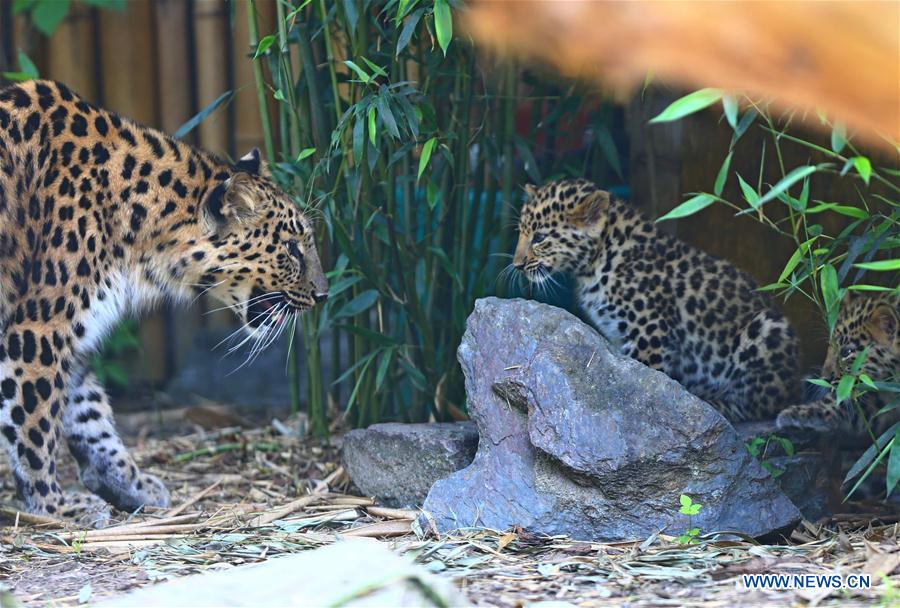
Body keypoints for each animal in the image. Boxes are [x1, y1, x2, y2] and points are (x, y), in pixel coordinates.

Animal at [0, 81, 330, 524]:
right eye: (292, 249)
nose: (323, 294)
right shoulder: (38, 329)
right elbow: (33, 424)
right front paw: (53, 505)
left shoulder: (71, 337)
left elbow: (90, 414)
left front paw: (131, 483)